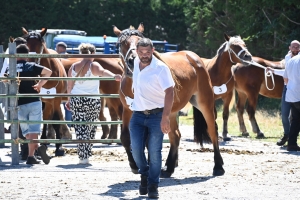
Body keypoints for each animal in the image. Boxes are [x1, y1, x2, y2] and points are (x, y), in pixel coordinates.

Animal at [20, 27, 71, 156]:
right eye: (27, 43)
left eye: (40, 44)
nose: (31, 61)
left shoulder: (56, 100)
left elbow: (56, 120)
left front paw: (59, 148)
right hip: (44, 102)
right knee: (45, 118)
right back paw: (43, 142)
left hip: (50, 102)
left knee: (49, 118)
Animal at [115, 23, 225, 177]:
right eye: (121, 43)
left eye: (140, 41)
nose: (132, 60)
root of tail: (194, 58)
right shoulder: (127, 111)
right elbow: (126, 137)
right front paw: (135, 165)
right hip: (171, 113)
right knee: (175, 136)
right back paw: (169, 168)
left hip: (204, 103)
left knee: (212, 131)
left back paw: (218, 166)